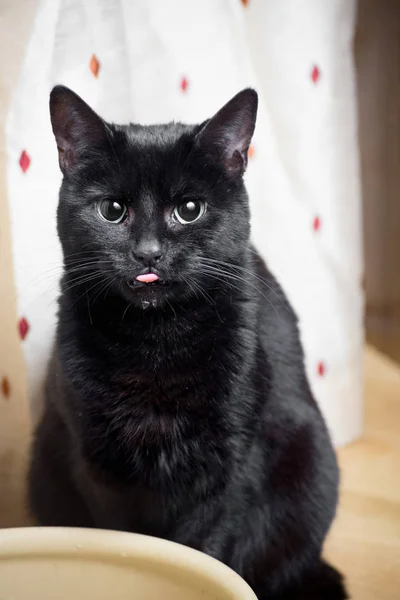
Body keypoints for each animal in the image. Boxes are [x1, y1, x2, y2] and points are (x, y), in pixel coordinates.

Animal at [28, 85, 346, 600]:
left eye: (189, 210)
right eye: (112, 210)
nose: (148, 253)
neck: (156, 342)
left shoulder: (229, 469)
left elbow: (204, 549)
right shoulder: (97, 464)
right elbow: (125, 541)